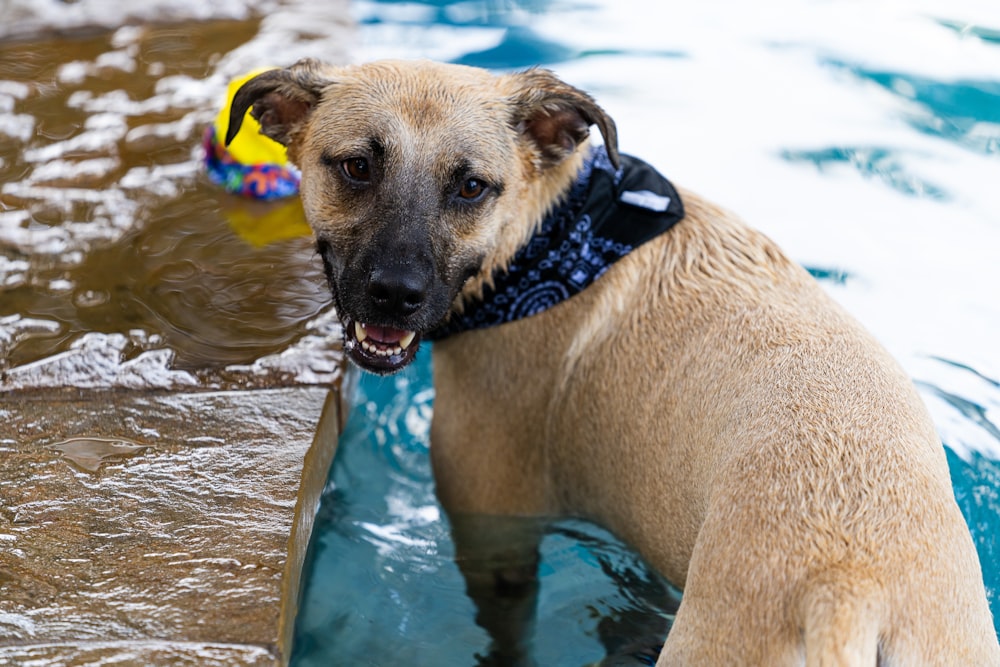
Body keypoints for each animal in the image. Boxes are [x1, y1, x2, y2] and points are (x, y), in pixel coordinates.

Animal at [229, 60, 1000, 664]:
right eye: (357, 166)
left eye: (471, 187)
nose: (396, 292)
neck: (550, 237)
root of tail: (847, 592)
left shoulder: (495, 532)